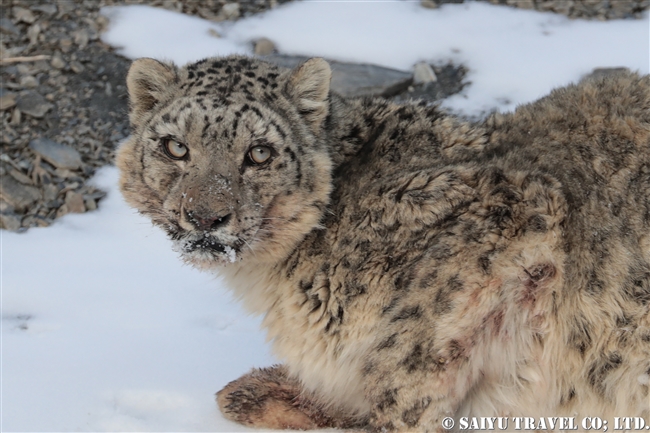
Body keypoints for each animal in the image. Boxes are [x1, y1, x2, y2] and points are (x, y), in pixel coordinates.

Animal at [117, 54, 648, 432]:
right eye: (176, 147)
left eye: (260, 153)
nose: (205, 216)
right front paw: (261, 392)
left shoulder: (508, 215)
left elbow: (406, 381)